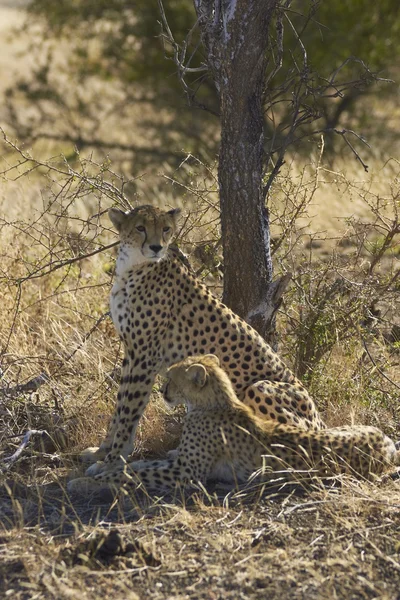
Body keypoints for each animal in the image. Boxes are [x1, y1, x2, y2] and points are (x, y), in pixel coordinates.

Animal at [69, 354, 400, 494]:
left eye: (171, 377)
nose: (161, 391)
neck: (213, 403)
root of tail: (386, 444)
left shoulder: (187, 473)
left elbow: (132, 475)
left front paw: (91, 480)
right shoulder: (182, 465)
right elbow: (140, 466)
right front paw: (105, 467)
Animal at [85, 206, 324, 478]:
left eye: (166, 228)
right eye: (140, 227)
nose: (156, 247)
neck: (132, 266)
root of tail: (321, 422)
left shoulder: (145, 356)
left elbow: (128, 410)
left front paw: (112, 460)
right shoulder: (131, 352)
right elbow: (119, 407)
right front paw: (102, 451)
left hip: (260, 388)